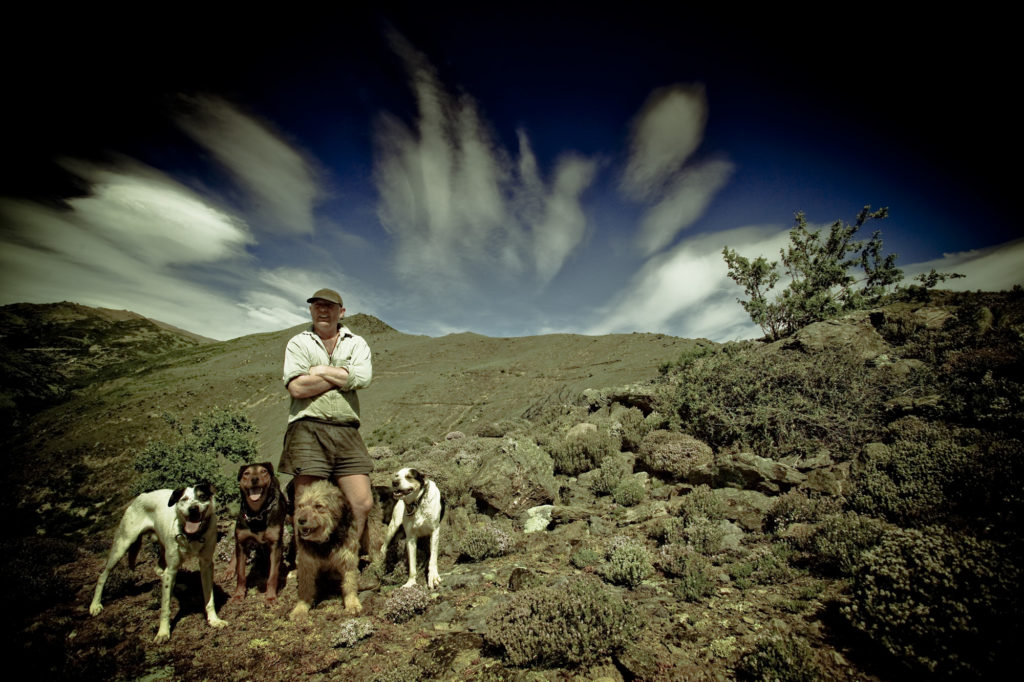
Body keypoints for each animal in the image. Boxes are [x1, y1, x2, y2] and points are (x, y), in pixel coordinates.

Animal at [89, 481, 226, 638]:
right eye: (184, 499)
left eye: (202, 497)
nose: (193, 508)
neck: (192, 536)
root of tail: (142, 495)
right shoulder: (172, 568)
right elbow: (165, 607)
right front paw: (163, 632)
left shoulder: (206, 565)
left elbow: (209, 598)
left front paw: (214, 620)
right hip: (122, 545)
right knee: (103, 575)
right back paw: (95, 605)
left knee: (159, 569)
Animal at [225, 462, 286, 602]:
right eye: (246, 473)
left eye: (263, 471)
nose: (254, 479)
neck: (257, 513)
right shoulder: (242, 542)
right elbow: (241, 574)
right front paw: (239, 594)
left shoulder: (276, 544)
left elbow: (273, 575)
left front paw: (270, 597)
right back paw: (230, 570)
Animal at [290, 477, 362, 614]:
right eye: (301, 506)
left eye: (318, 506)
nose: (300, 520)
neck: (324, 541)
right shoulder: (306, 563)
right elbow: (305, 588)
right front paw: (300, 608)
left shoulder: (347, 558)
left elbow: (349, 583)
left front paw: (352, 604)